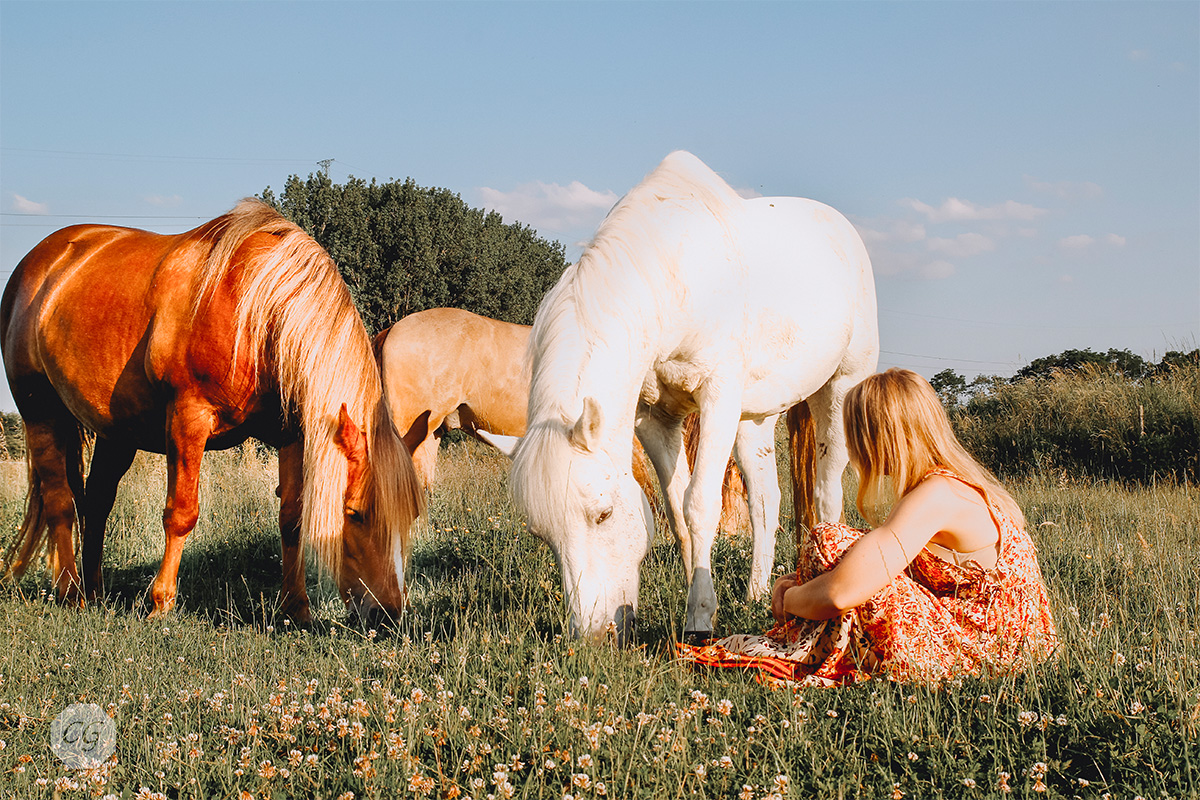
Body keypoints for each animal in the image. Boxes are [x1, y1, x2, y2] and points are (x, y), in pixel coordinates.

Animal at [1, 199, 425, 623]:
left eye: (411, 516)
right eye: (354, 513)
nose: (389, 613)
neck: (257, 313)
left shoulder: (292, 433)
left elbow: (292, 518)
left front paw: (296, 609)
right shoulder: (188, 420)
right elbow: (181, 513)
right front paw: (161, 604)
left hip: (116, 431)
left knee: (98, 499)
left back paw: (95, 592)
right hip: (41, 412)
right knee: (60, 500)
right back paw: (70, 591)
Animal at [507, 152, 878, 644]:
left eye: (603, 514)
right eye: (542, 535)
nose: (591, 636)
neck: (673, 275)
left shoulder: (717, 397)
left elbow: (701, 506)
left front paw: (700, 619)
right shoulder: (655, 418)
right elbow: (680, 516)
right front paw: (701, 603)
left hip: (838, 390)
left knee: (826, 492)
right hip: (753, 418)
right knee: (766, 501)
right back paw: (756, 593)